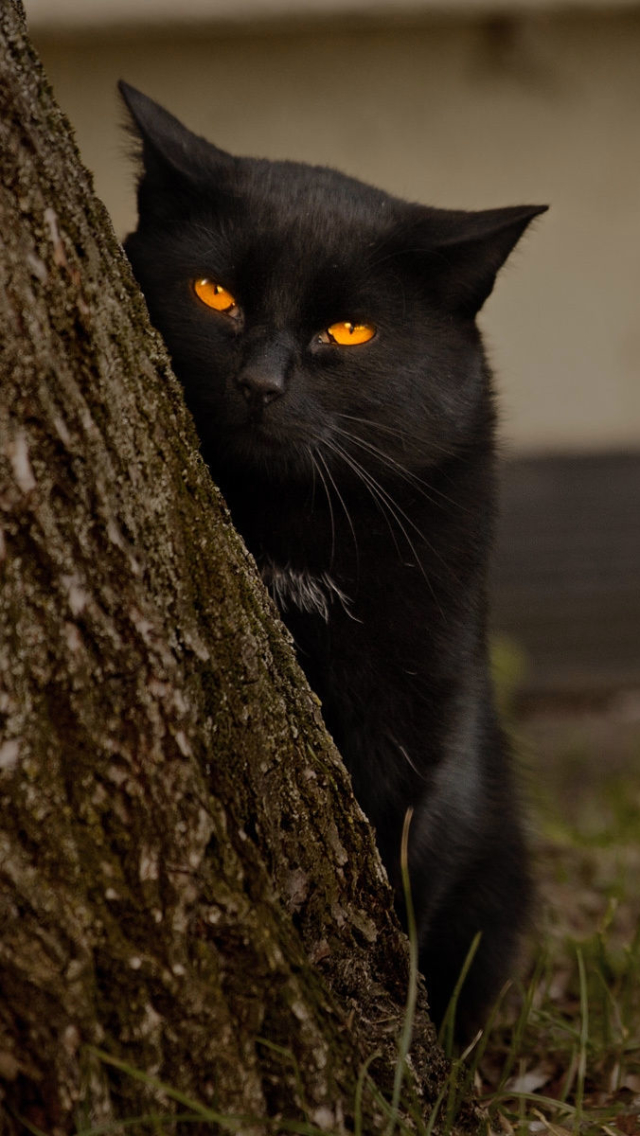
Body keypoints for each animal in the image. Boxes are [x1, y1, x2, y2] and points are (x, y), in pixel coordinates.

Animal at [120, 82, 545, 1040]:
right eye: (216, 292)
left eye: (347, 331)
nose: (260, 384)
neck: (294, 533)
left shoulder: (424, 701)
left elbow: (408, 855)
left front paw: (404, 1036)